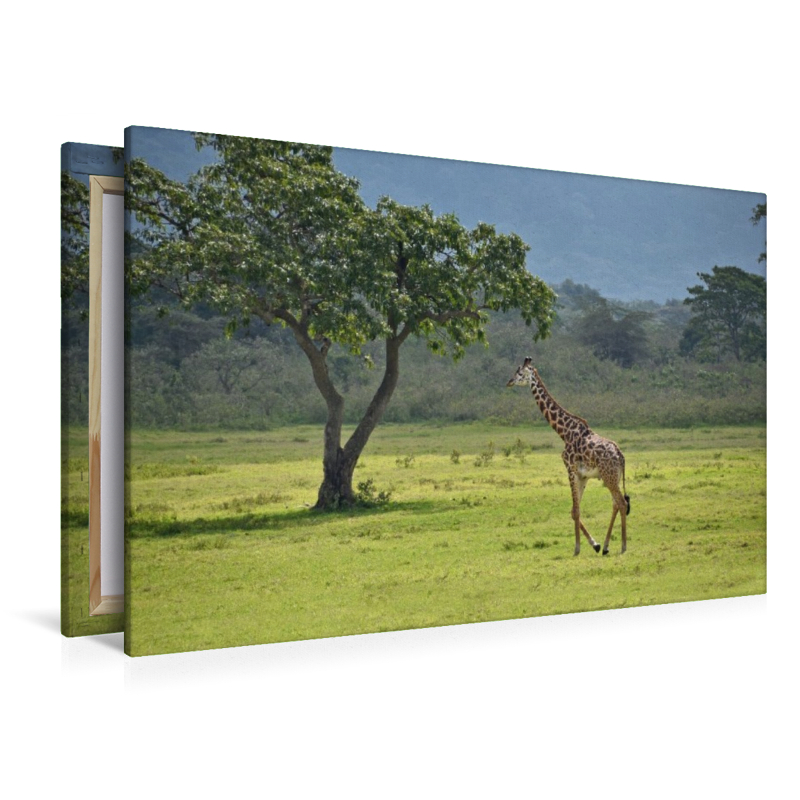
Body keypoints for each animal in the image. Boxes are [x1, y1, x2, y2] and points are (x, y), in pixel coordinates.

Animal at [507, 357, 630, 556]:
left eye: (519, 373)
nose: (509, 382)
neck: (564, 432)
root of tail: (620, 455)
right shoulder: (583, 475)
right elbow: (574, 510)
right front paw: (594, 544)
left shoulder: (570, 469)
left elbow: (576, 511)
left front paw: (577, 548)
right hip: (614, 477)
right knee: (616, 503)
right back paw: (605, 547)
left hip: (608, 476)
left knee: (622, 503)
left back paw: (623, 546)